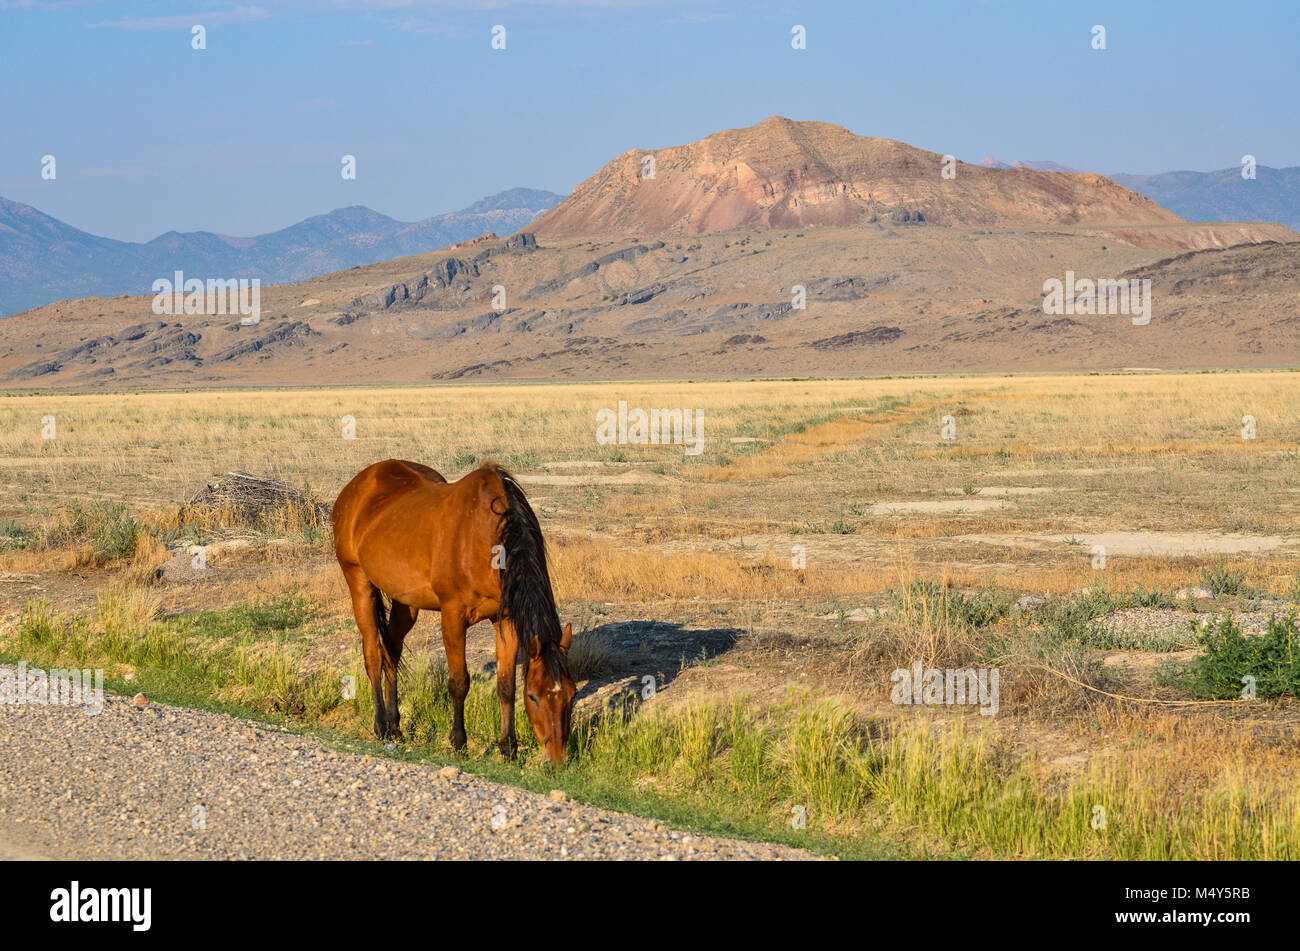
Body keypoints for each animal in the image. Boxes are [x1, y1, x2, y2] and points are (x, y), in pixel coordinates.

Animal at [335, 459, 574, 763]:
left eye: (571, 695)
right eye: (533, 696)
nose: (557, 759)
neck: (487, 539)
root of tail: (357, 484)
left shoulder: (505, 619)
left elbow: (506, 685)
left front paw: (508, 747)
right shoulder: (453, 616)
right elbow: (459, 681)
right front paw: (459, 742)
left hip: (406, 602)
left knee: (392, 653)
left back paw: (395, 725)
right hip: (358, 581)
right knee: (373, 655)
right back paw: (380, 726)